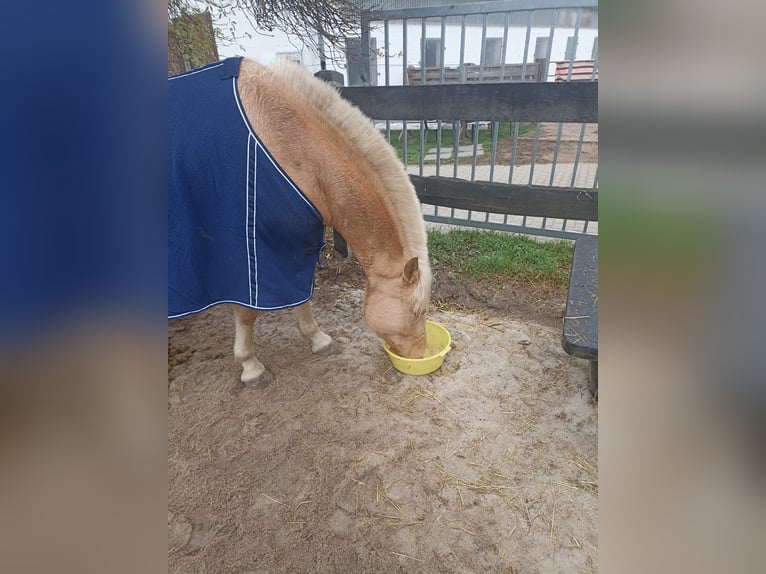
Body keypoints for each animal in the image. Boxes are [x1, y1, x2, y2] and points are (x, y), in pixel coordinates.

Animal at [170, 58, 432, 390]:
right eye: (416, 311)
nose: (420, 355)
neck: (288, 142)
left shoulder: (295, 245)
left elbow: (303, 295)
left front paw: (318, 340)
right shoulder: (246, 255)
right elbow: (246, 313)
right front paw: (250, 367)